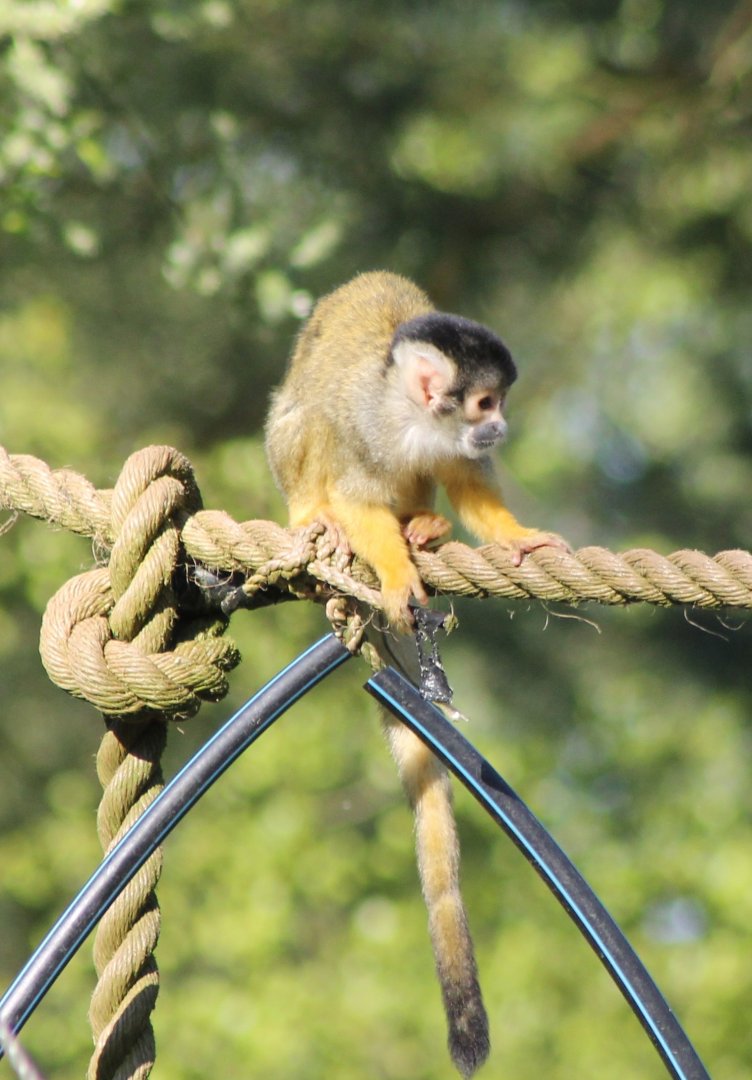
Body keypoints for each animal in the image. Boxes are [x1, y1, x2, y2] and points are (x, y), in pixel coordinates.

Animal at [265, 271, 567, 1076]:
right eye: (487, 402)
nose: (500, 427)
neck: (414, 417)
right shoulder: (363, 422)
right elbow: (353, 487)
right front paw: (395, 570)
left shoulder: (452, 446)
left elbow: (467, 477)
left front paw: (516, 537)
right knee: (302, 425)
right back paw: (321, 518)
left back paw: (423, 526)